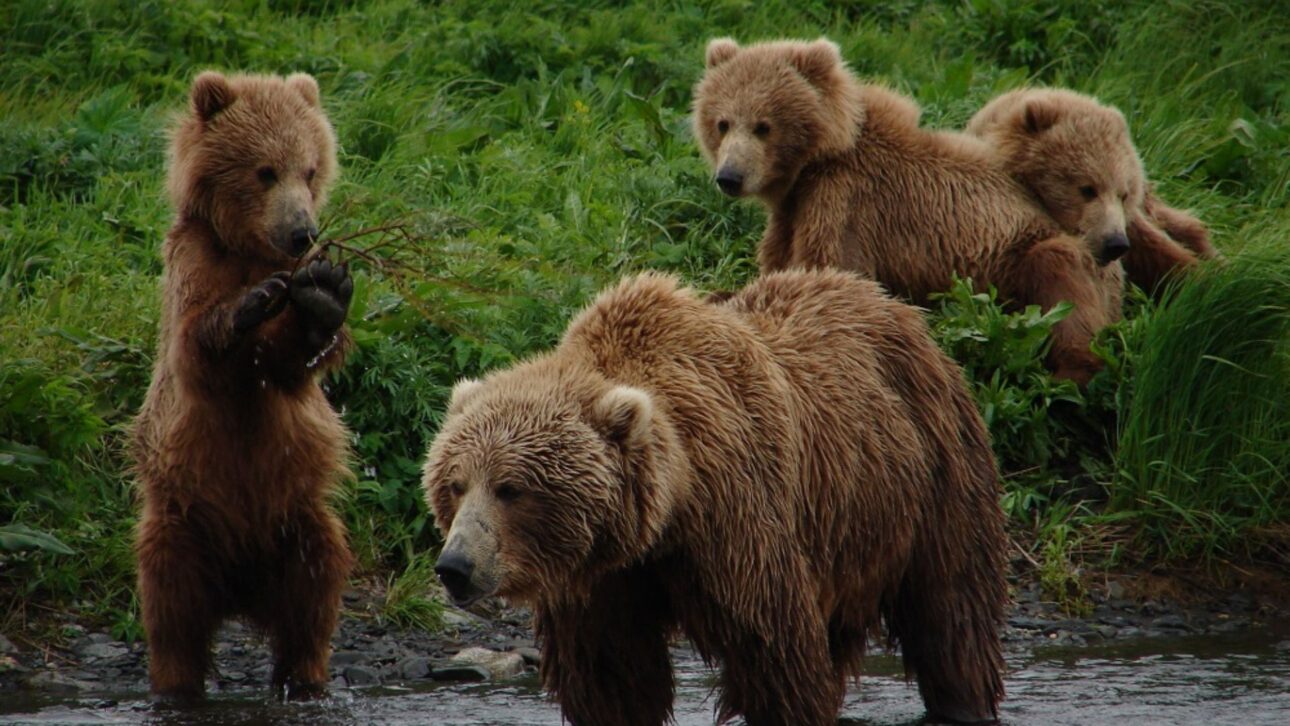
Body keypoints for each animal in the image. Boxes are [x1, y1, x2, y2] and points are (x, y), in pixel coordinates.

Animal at [130, 71, 355, 700]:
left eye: (310, 169)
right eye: (265, 170)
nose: (302, 232)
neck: (250, 247)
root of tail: (241, 590)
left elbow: (291, 364)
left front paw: (324, 294)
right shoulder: (194, 263)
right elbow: (198, 347)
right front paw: (248, 305)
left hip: (300, 524)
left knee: (315, 596)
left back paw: (304, 678)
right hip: (181, 522)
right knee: (171, 607)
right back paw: (177, 683)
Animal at [423, 269, 1008, 725]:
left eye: (511, 488)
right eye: (455, 483)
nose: (455, 566)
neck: (669, 515)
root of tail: (890, 301)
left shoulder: (738, 527)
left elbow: (775, 654)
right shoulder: (602, 580)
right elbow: (611, 677)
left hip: (933, 471)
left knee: (950, 610)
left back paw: (961, 699)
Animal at [691, 37, 1126, 385]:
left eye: (763, 125)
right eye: (722, 123)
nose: (729, 176)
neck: (815, 162)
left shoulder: (846, 202)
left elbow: (831, 272)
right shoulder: (791, 211)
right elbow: (778, 267)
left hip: (1038, 256)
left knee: (1061, 281)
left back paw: (1067, 374)